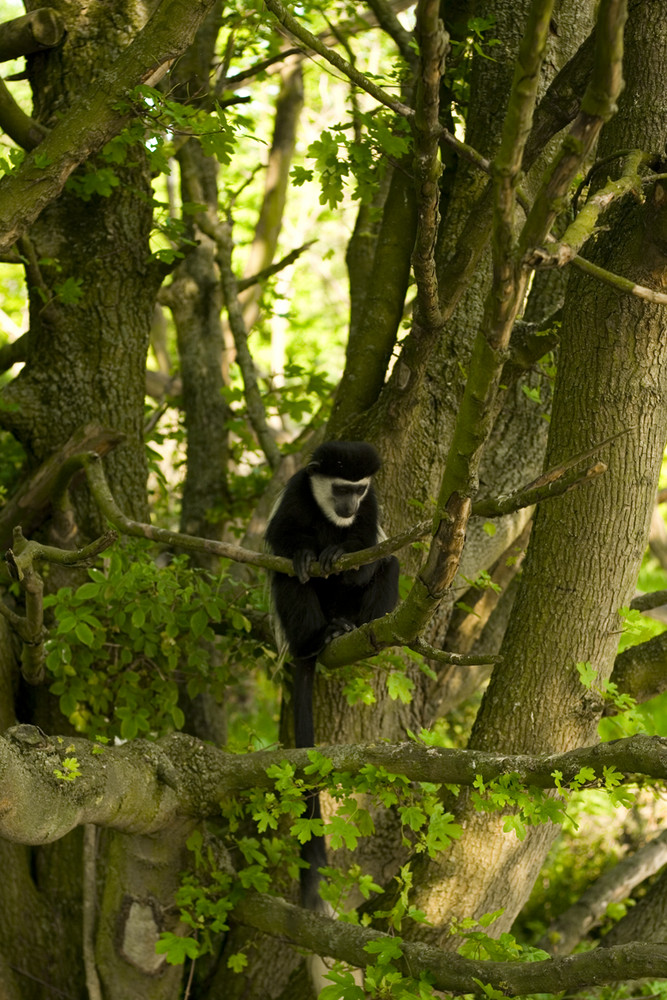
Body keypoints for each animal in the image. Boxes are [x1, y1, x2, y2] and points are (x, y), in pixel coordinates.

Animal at [264, 442, 402, 912]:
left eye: (358, 490)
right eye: (341, 488)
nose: (348, 507)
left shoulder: (372, 507)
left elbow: (368, 557)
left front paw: (338, 556)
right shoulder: (295, 492)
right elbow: (283, 541)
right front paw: (307, 554)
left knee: (389, 564)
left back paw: (349, 628)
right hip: (296, 621)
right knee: (287, 576)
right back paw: (318, 635)